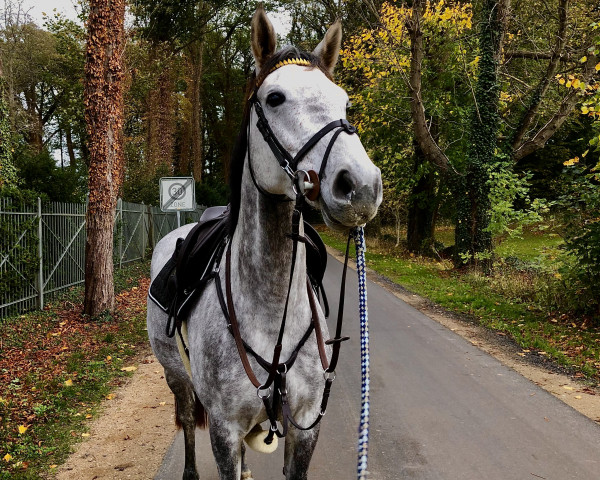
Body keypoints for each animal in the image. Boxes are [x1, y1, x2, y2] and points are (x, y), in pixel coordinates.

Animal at [148, 7, 382, 480]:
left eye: (345, 102)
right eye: (274, 98)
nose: (361, 186)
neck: (271, 311)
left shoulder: (305, 426)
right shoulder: (223, 431)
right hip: (177, 378)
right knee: (187, 418)